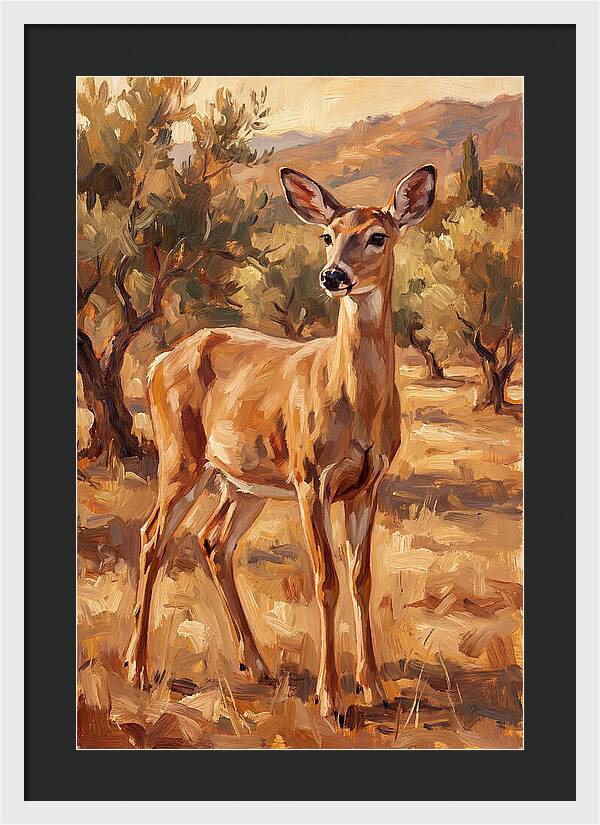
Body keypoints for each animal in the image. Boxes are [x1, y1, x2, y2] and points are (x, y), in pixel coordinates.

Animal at [125, 164, 436, 719]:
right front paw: (331, 698)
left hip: (242, 482)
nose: (333, 275)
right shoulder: (311, 476)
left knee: (213, 541)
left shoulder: (367, 484)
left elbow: (361, 579)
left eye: (378, 236)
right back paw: (138, 669)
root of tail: (159, 361)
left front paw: (375, 687)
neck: (355, 401)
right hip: (180, 457)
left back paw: (257, 663)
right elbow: (325, 579)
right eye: (328, 235)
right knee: (152, 536)